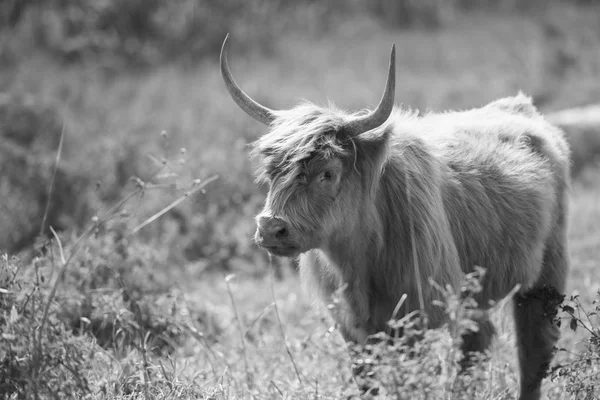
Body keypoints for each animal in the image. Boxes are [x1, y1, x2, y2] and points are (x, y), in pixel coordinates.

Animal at [220, 35, 572, 400]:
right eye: (270, 172)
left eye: (327, 173)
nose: (270, 228)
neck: (359, 260)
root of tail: (521, 107)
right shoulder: (351, 329)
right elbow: (367, 380)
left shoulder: (416, 318)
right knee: (477, 342)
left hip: (546, 279)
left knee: (534, 351)